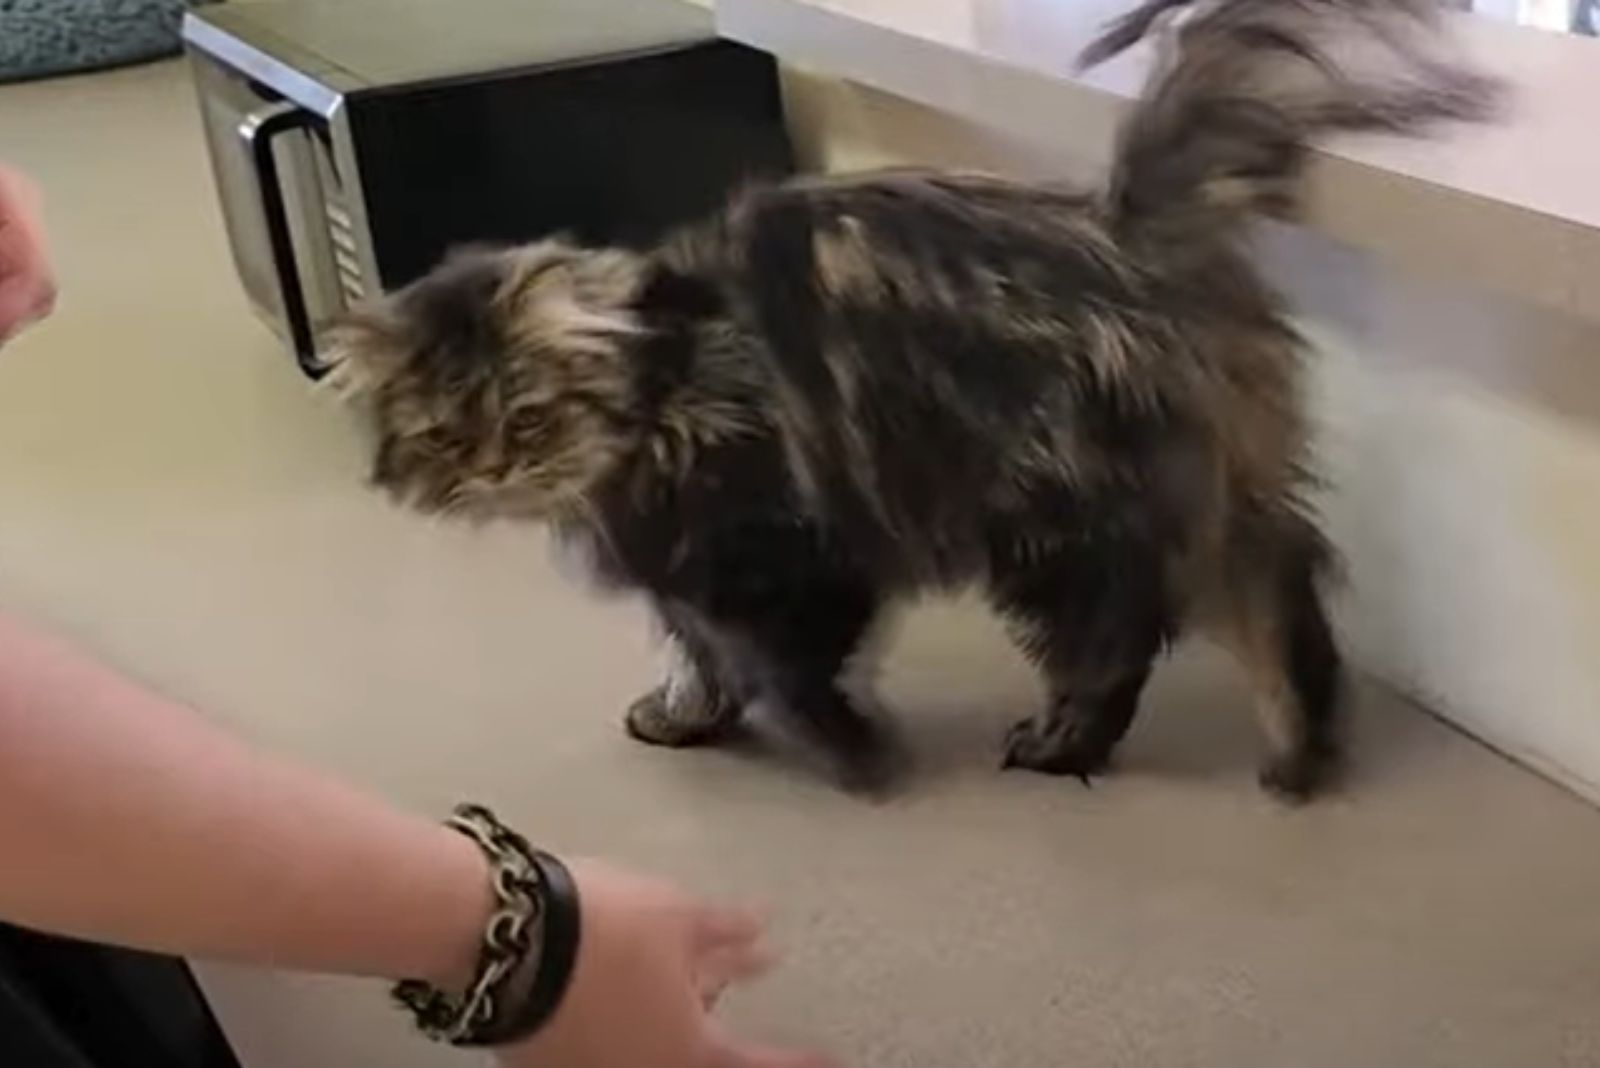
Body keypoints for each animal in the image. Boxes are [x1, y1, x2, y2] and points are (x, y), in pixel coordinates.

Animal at [321, 0, 1497, 796]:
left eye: (526, 415)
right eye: (445, 430)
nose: (492, 468)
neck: (661, 380)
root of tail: (1124, 226)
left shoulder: (785, 549)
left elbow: (789, 672)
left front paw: (858, 758)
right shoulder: (689, 573)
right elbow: (698, 655)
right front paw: (684, 717)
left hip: (1056, 517)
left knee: (1136, 636)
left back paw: (1087, 745)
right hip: (1187, 486)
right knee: (1276, 581)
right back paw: (1304, 747)